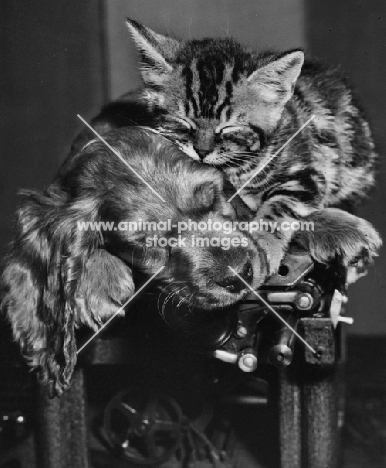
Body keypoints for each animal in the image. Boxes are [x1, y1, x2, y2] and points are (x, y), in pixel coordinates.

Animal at [74, 20, 380, 276]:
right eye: (184, 122)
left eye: (228, 128)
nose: (202, 151)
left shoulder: (307, 175)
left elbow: (280, 207)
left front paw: (264, 245)